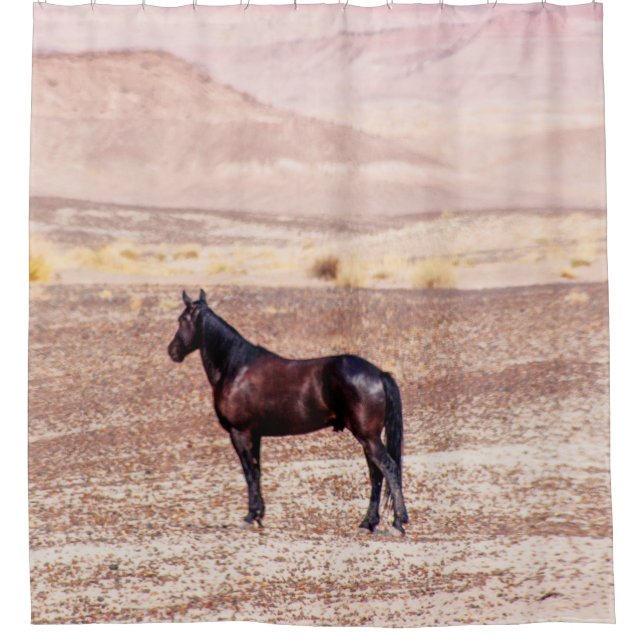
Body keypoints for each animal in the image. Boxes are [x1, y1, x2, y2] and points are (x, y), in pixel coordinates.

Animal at [167, 289, 409, 535]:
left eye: (181, 319)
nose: (172, 351)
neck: (235, 368)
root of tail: (378, 373)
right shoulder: (255, 434)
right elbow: (257, 471)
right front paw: (259, 516)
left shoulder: (239, 433)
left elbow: (249, 473)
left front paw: (249, 517)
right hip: (368, 438)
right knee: (376, 474)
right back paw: (367, 523)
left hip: (368, 437)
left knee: (388, 468)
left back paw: (397, 524)